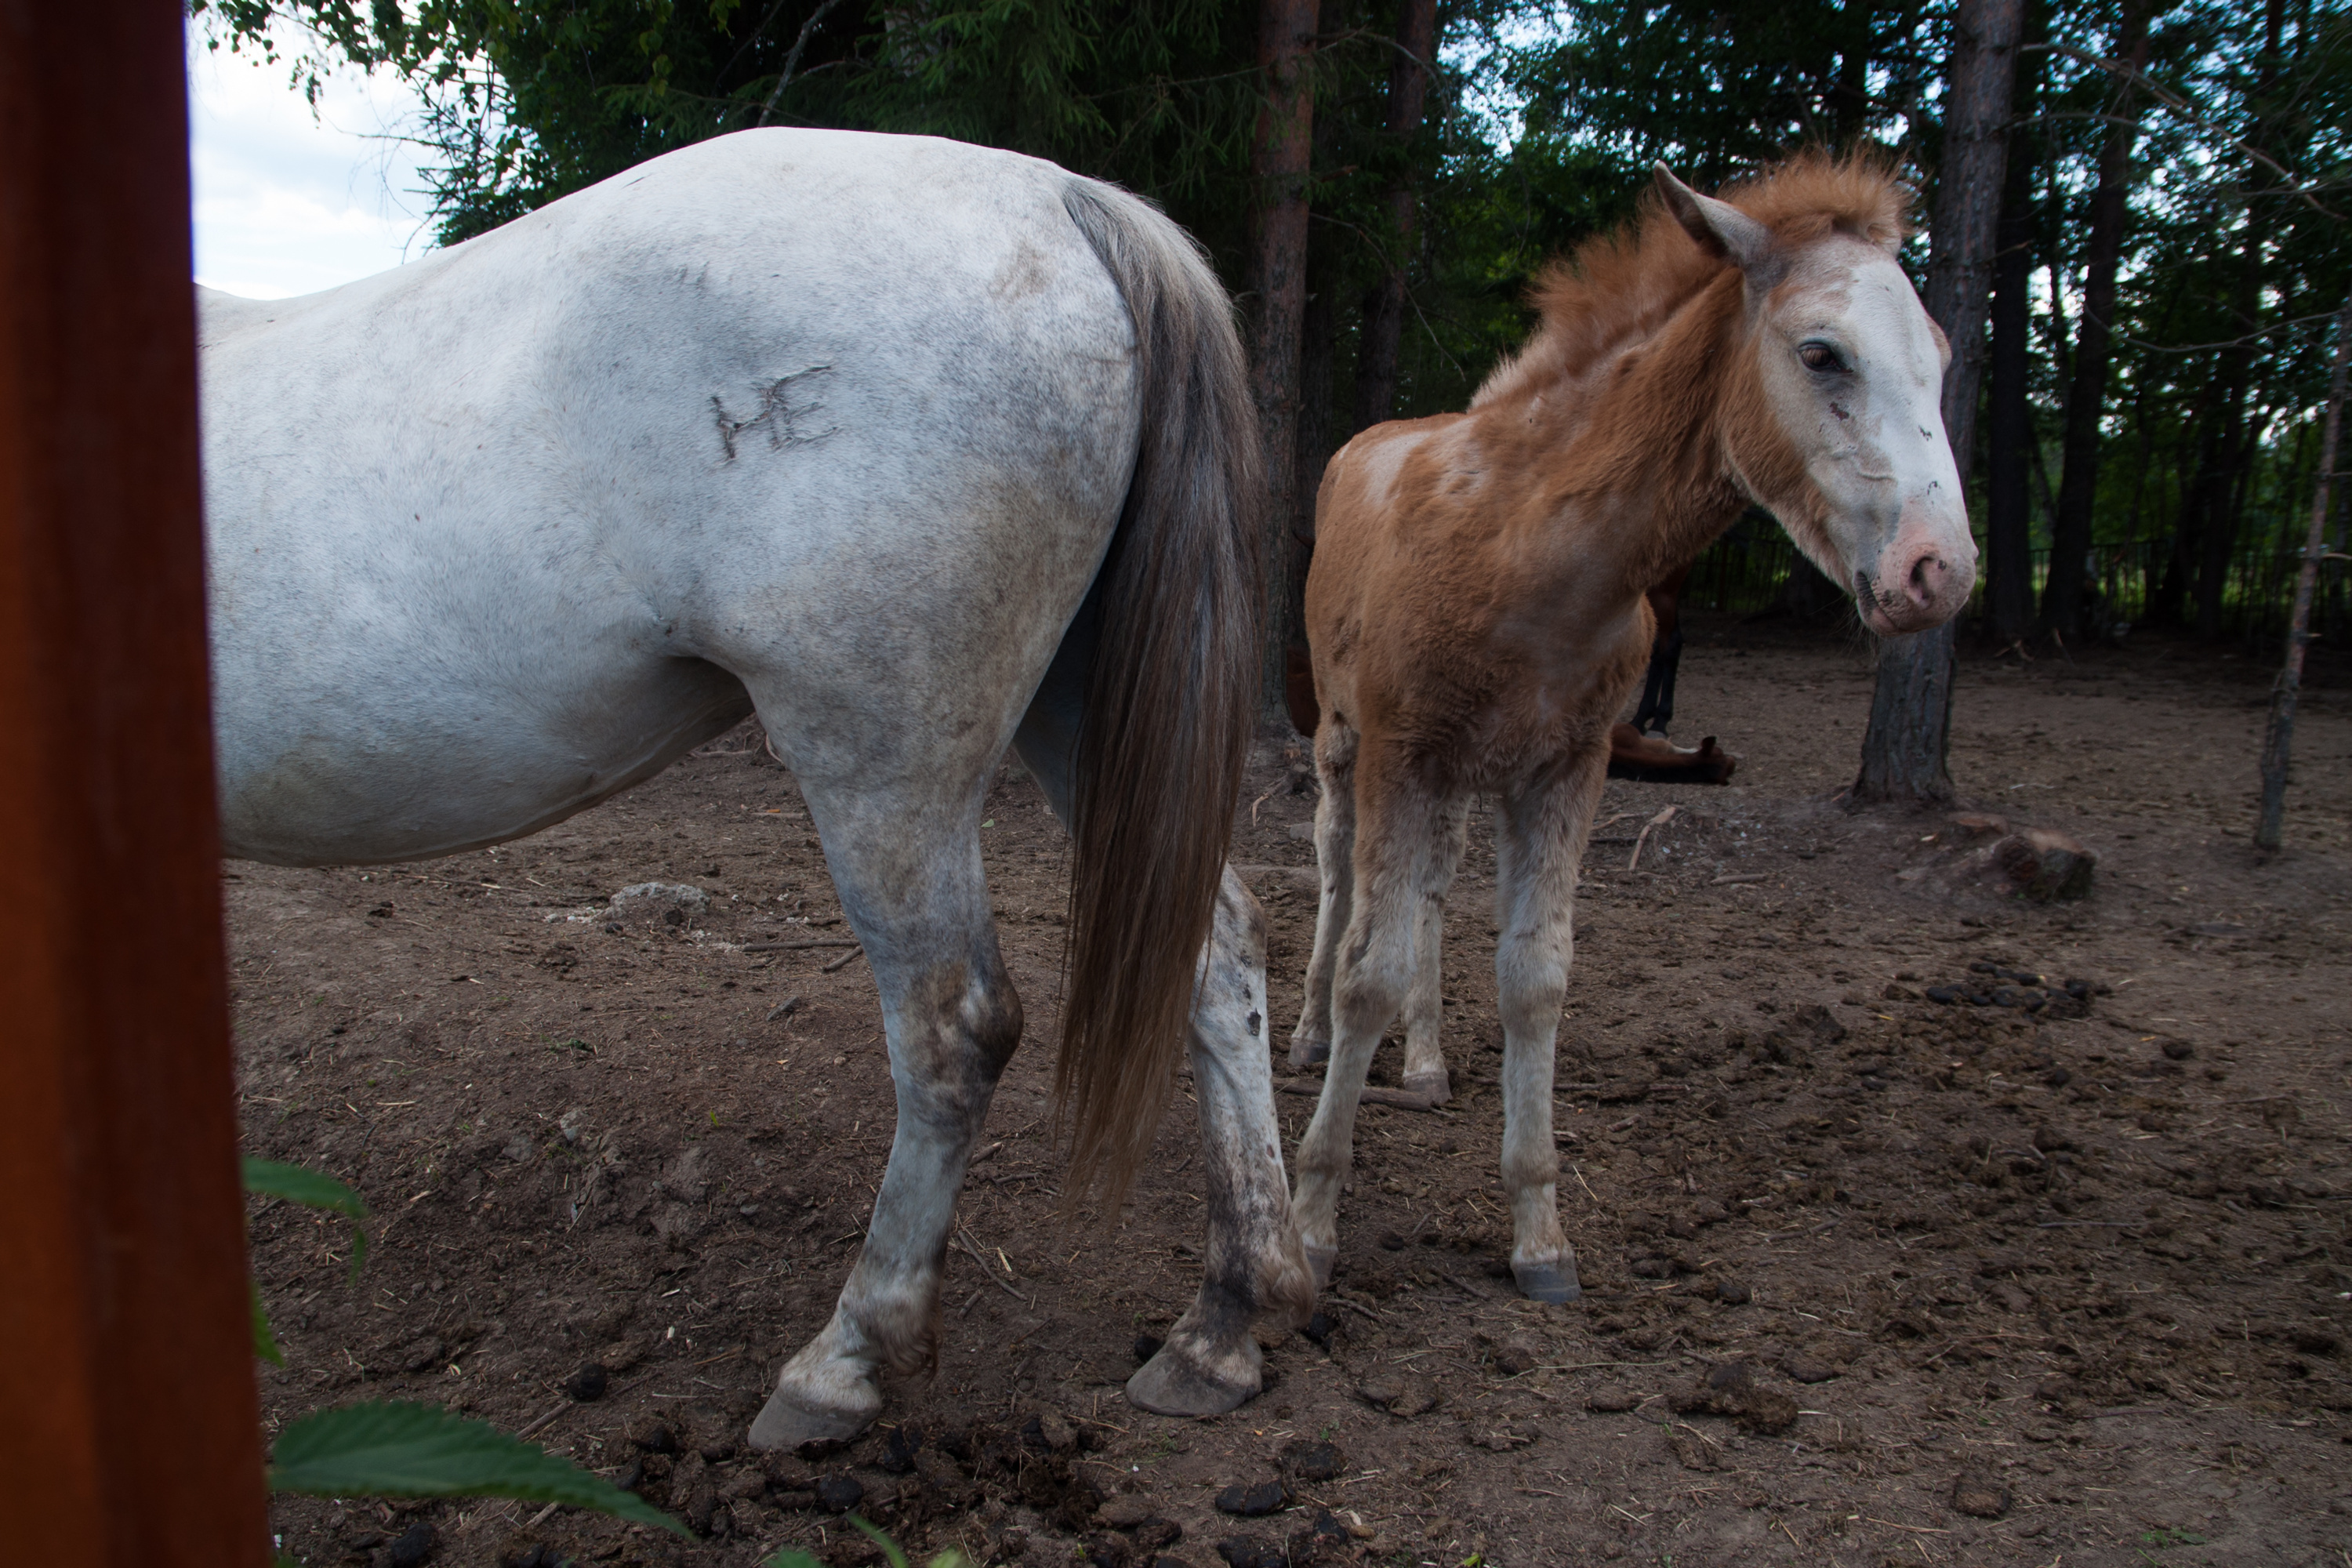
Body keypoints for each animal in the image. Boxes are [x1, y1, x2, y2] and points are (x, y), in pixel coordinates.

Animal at [195, 131, 1317, 1448]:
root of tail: (1060, 195)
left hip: (882, 762)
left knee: (952, 1030)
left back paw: (843, 1360)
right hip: (1081, 706)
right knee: (1216, 951)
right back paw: (1225, 1324)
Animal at [1298, 156, 1976, 1298]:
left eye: (1941, 357)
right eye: (1821, 352)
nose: (1940, 572)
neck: (1527, 557)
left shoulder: (1563, 770)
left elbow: (1535, 979)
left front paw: (1540, 1236)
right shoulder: (1401, 751)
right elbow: (1367, 968)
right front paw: (1306, 1227)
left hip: (1463, 779)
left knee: (1430, 895)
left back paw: (1427, 1060)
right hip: (1345, 746)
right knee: (1339, 877)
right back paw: (1305, 1032)